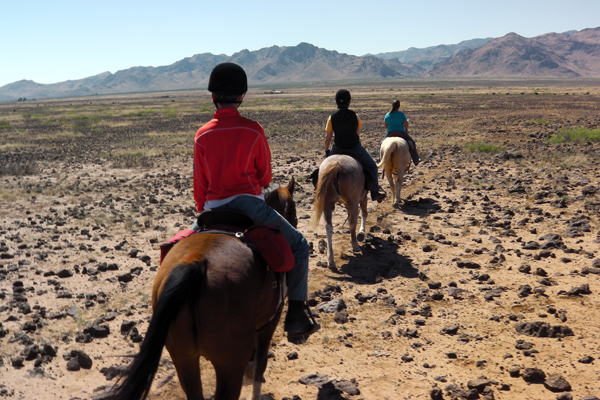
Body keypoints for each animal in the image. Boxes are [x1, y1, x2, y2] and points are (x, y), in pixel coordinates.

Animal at [110, 179, 298, 400]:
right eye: (294, 211)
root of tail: (197, 263)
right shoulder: (270, 321)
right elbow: (260, 368)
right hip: (229, 364)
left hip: (183, 357)